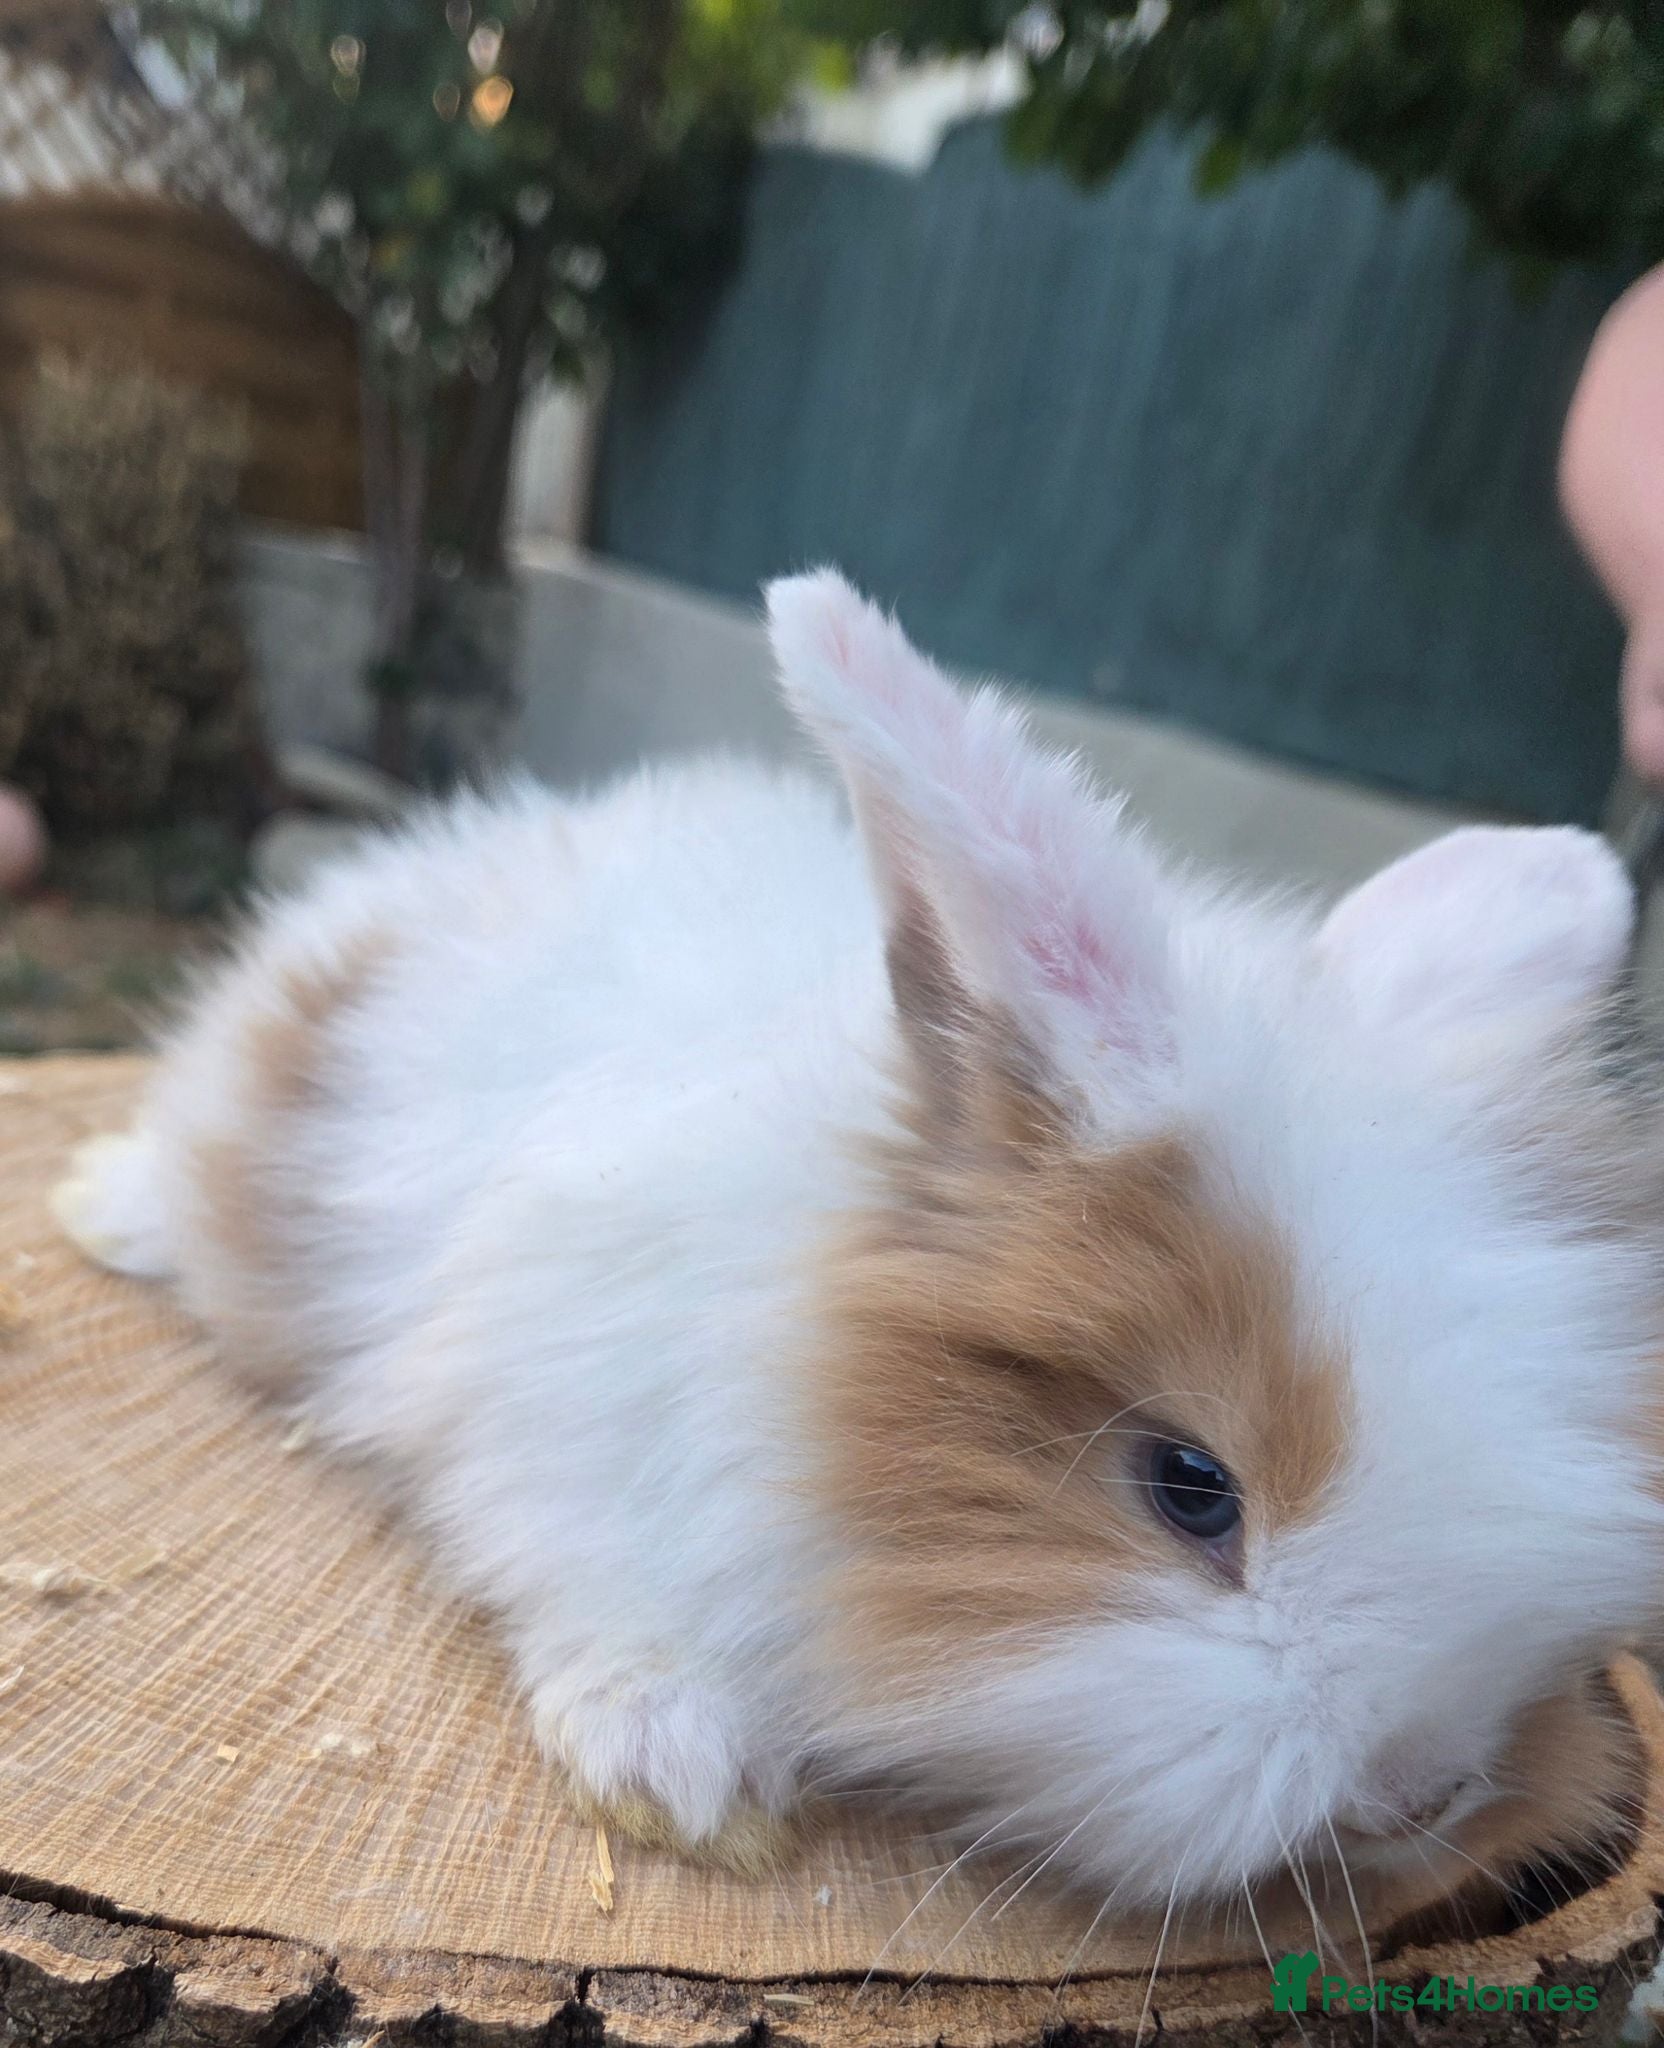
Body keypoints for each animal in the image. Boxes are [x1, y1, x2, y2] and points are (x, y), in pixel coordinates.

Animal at [53, 569, 1664, 1920]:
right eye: (1189, 1487)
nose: (1418, 1789)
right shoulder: (546, 1433)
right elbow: (598, 1592)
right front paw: (679, 1773)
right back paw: (94, 1205)